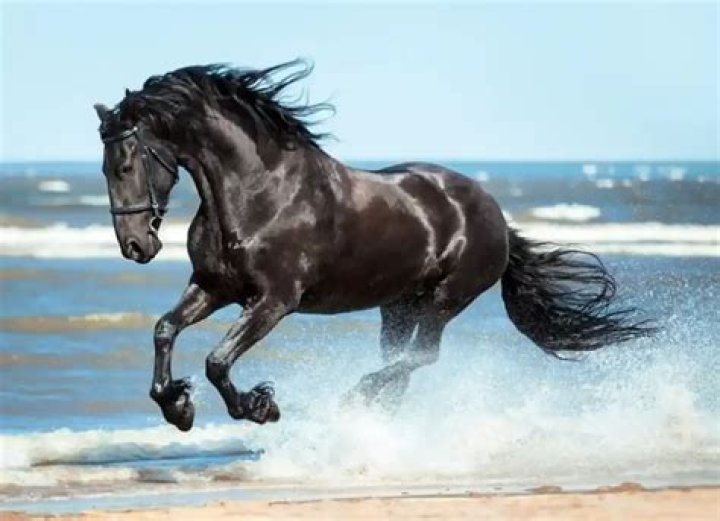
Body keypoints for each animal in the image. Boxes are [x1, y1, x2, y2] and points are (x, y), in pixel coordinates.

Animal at [93, 60, 652, 432]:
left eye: (127, 163)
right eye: (104, 168)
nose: (136, 245)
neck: (257, 192)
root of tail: (495, 215)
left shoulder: (274, 301)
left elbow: (217, 361)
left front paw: (259, 406)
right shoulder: (213, 287)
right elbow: (165, 330)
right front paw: (177, 406)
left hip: (445, 299)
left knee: (421, 357)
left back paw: (356, 399)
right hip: (398, 306)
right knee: (403, 363)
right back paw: (373, 416)